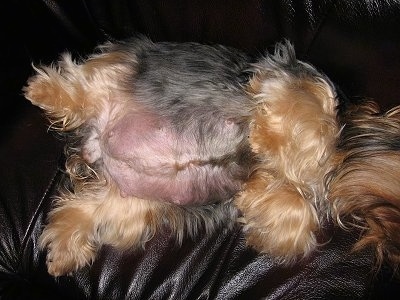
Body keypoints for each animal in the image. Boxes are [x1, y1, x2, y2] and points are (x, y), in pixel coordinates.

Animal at [24, 38, 400, 276]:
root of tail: (95, 142)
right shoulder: (298, 81)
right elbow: (310, 123)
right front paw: (261, 137)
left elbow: (293, 214)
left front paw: (254, 192)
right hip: (117, 74)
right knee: (82, 84)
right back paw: (45, 90)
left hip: (130, 204)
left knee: (80, 209)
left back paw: (63, 253)